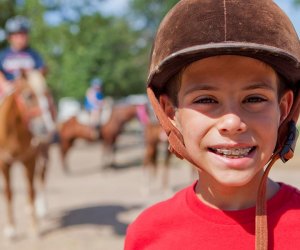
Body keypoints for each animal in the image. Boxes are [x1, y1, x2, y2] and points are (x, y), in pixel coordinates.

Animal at [0, 71, 54, 239]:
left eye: (47, 94)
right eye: (29, 95)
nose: (47, 128)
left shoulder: (30, 159)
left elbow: (31, 191)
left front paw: (34, 228)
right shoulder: (4, 163)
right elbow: (9, 193)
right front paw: (11, 228)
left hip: (43, 152)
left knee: (41, 176)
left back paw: (42, 208)